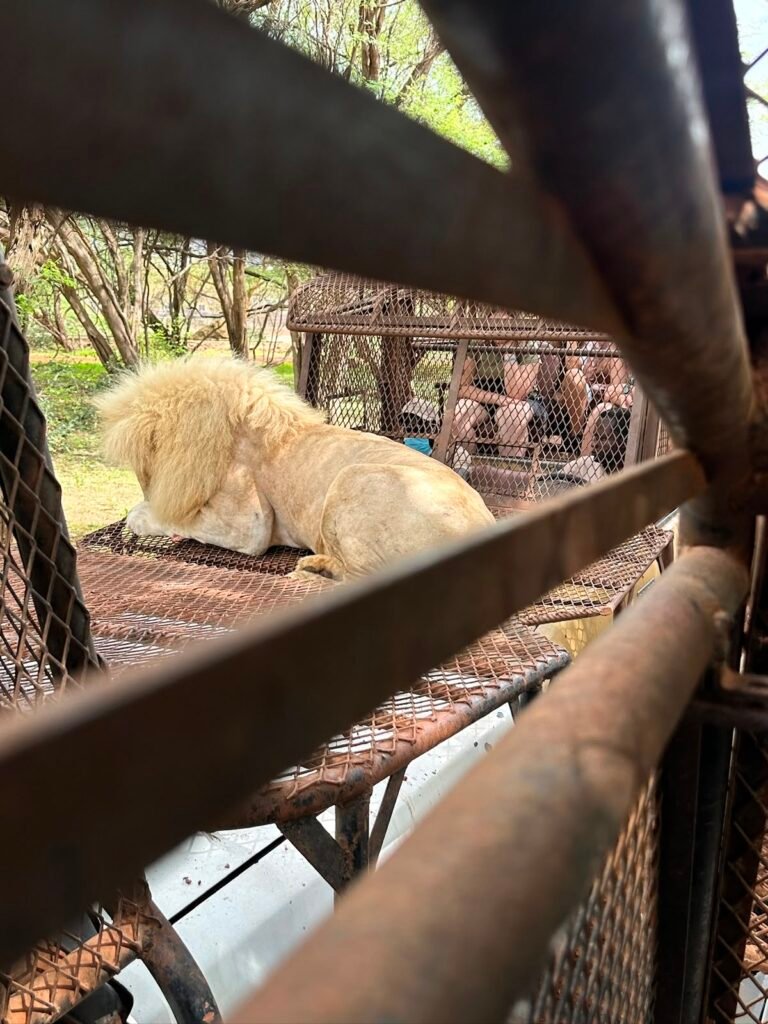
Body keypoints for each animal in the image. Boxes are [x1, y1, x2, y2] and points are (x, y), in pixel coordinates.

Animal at [96, 358, 495, 581]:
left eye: (143, 469)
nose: (148, 488)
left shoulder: (251, 527)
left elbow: (168, 518)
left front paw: (142, 514)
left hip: (352, 477)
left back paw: (311, 571)